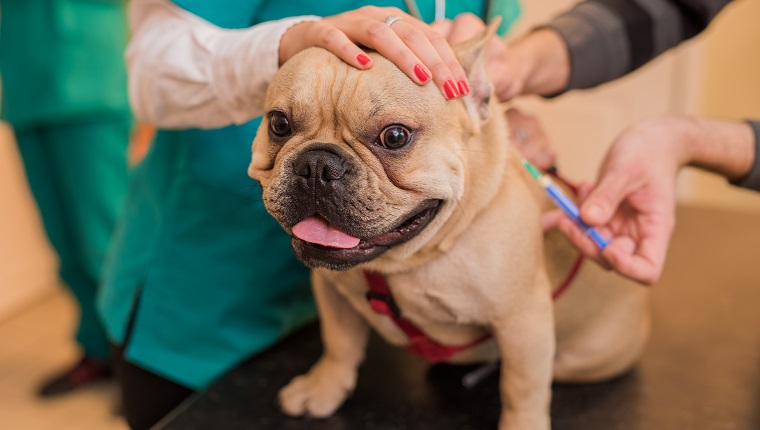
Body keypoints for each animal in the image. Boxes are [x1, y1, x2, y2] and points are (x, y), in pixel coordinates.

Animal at [248, 24, 648, 430]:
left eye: (395, 136)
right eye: (279, 124)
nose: (317, 165)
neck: (402, 262)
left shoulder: (523, 321)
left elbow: (522, 388)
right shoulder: (332, 292)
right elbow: (339, 343)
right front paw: (324, 388)